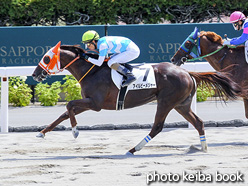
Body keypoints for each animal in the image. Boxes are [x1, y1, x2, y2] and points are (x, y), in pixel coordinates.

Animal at [32, 41, 241, 154]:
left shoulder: (95, 103)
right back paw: (203, 148)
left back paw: (133, 149)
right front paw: (42, 132)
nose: (35, 74)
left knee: (157, 127)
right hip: (181, 104)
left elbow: (69, 105)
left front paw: (75, 131)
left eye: (46, 58)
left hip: (166, 102)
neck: (91, 71)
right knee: (198, 122)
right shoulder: (89, 102)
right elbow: (65, 112)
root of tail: (187, 73)